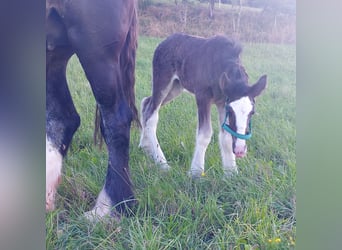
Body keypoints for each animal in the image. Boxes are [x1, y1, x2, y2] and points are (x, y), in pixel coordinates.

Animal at [139, 33, 268, 178]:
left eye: (252, 112)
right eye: (231, 110)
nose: (240, 150)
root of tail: (163, 43)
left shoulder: (222, 101)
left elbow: (226, 136)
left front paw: (231, 172)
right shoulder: (202, 96)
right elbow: (205, 134)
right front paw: (196, 172)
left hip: (176, 87)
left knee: (146, 103)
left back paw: (145, 146)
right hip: (162, 81)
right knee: (152, 115)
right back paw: (162, 163)